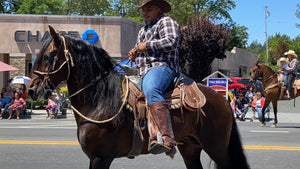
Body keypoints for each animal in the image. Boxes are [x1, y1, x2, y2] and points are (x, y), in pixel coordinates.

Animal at [28, 26, 248, 169]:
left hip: (216, 147)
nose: (31, 90)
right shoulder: (95, 158)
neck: (100, 100)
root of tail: (223, 100)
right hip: (190, 148)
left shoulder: (100, 157)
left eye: (47, 57)